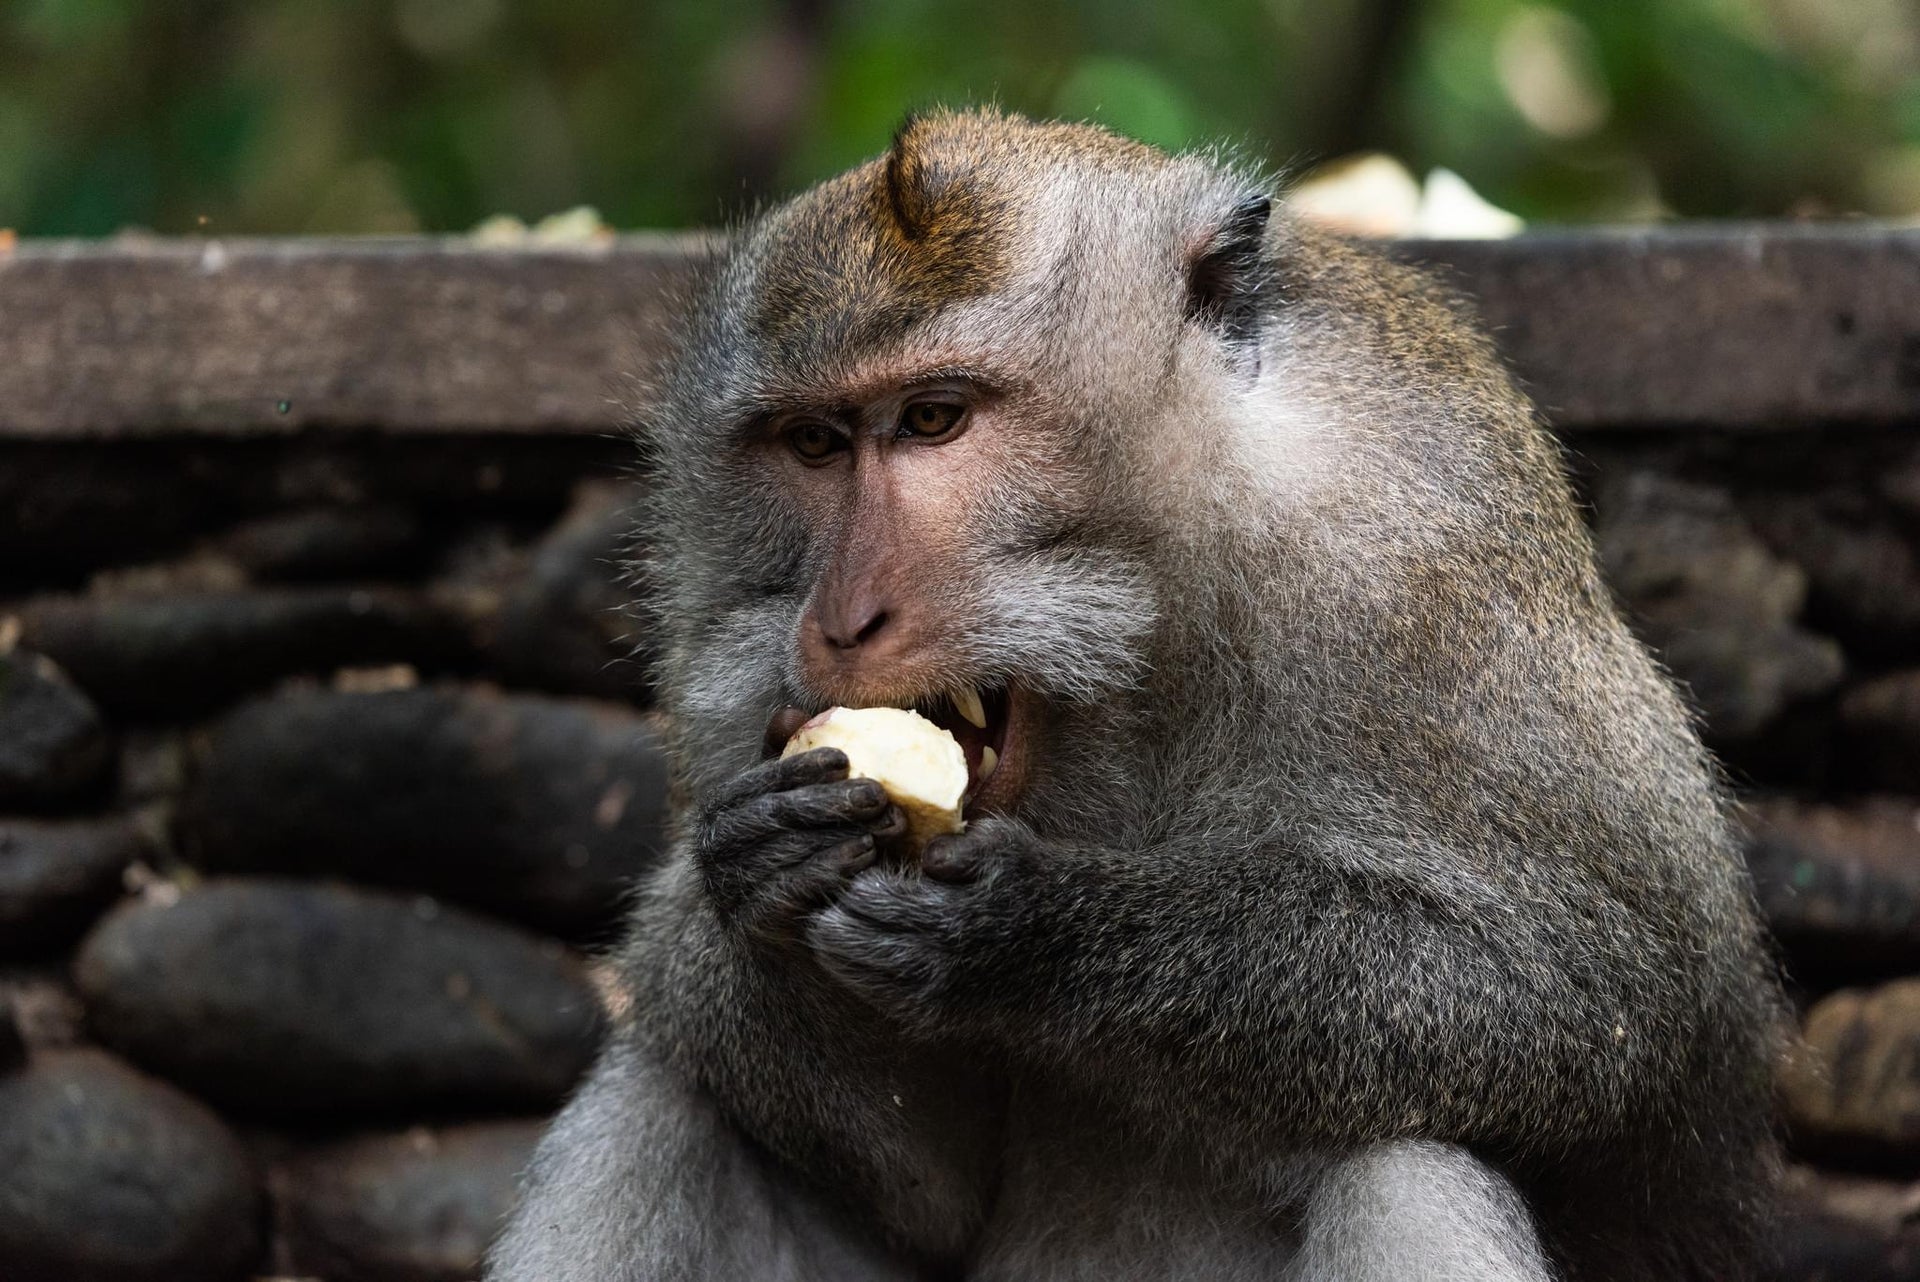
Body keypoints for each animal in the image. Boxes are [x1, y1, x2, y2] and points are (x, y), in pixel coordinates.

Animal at [491, 110, 1781, 1282]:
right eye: (814, 442)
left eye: (934, 418)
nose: (843, 620)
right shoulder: (723, 655)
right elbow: (929, 1192)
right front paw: (757, 870)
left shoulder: (1415, 555)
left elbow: (1605, 1000)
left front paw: (1039, 933)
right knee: (667, 1097)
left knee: (1406, 1162)